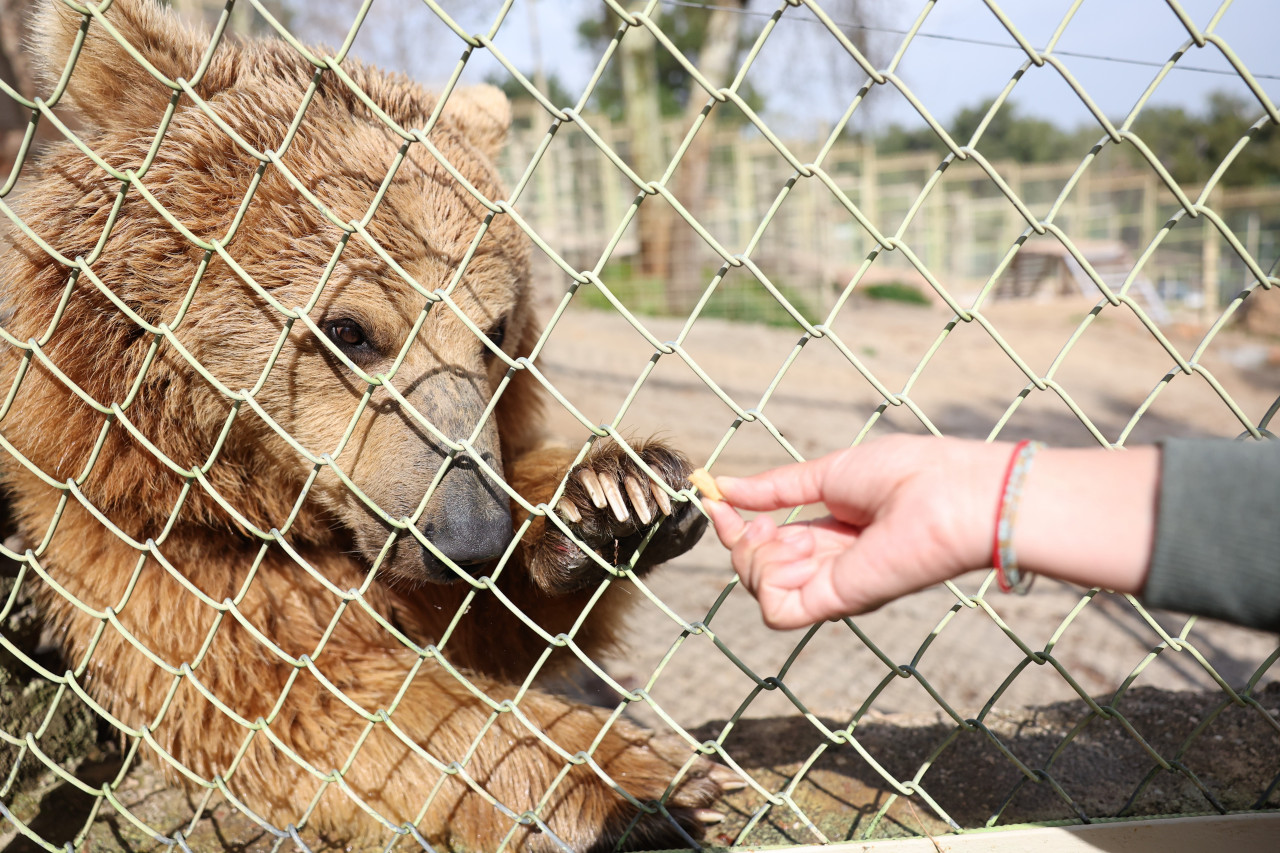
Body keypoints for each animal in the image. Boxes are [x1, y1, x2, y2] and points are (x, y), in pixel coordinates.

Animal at [0, 3, 727, 845]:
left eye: (495, 332)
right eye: (350, 329)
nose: (470, 537)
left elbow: (489, 619)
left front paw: (619, 499)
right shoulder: (143, 544)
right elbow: (314, 695)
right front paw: (636, 782)